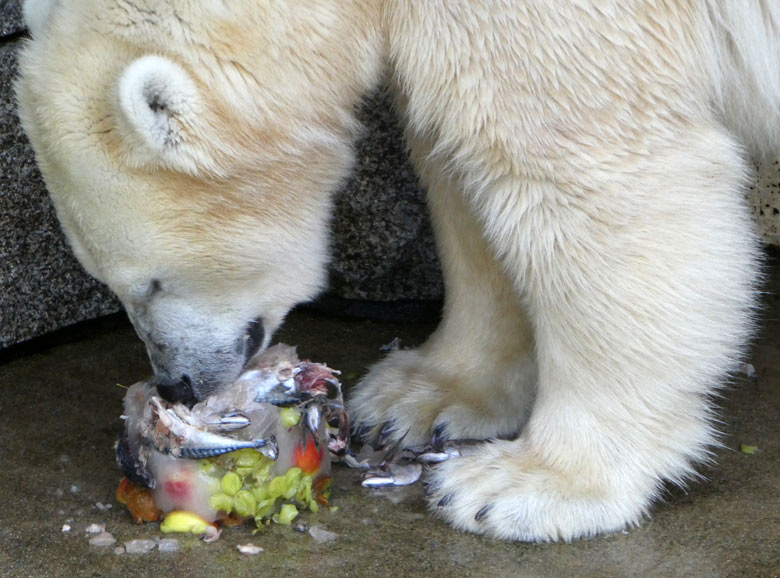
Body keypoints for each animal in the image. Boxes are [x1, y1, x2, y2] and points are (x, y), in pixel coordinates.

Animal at [15, 1, 780, 540]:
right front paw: (422, 398)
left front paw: (529, 486)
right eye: (110, 286)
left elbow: (585, 170)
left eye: (148, 283)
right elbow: (464, 174)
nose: (177, 382)